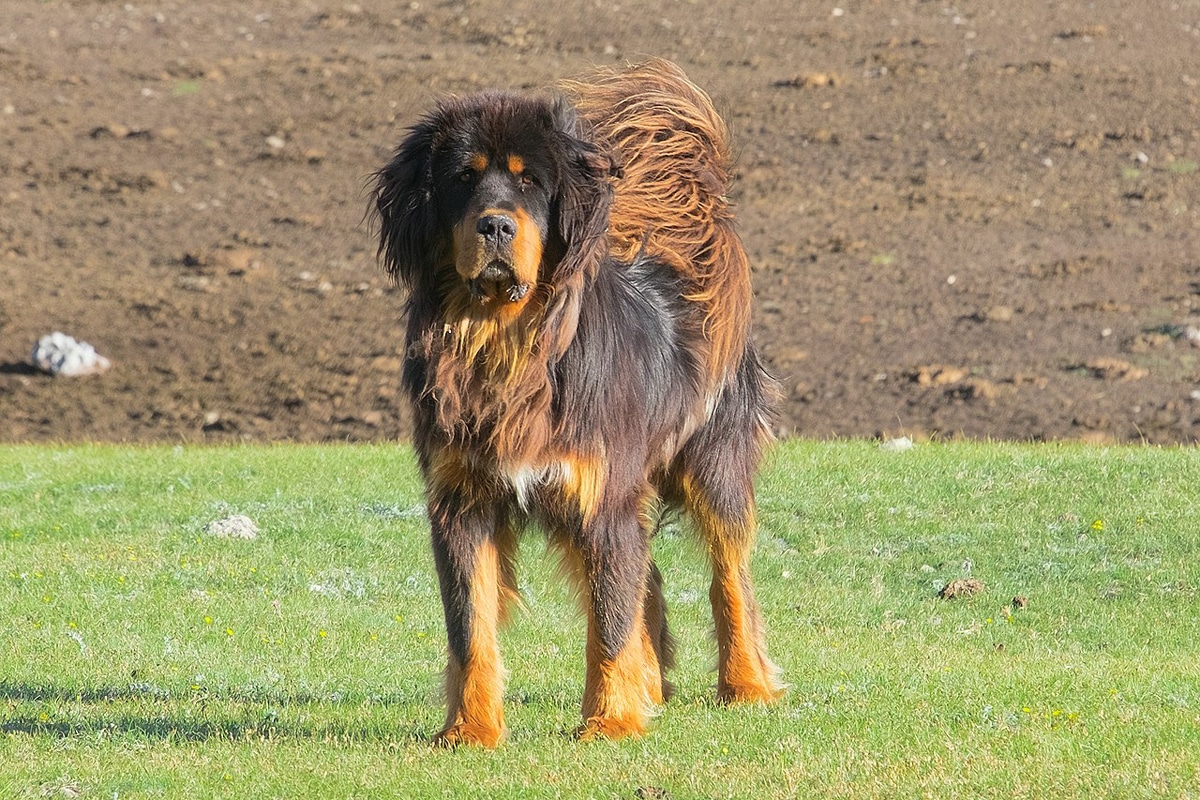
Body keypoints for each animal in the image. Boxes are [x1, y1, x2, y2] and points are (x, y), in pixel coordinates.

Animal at [374, 59, 787, 748]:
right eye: (462, 179)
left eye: (530, 182)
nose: (495, 224)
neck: (506, 344)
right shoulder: (463, 501)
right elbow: (471, 627)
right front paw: (470, 730)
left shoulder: (602, 495)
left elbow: (609, 625)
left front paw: (611, 722)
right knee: (646, 579)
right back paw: (653, 685)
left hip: (709, 466)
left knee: (727, 577)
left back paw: (746, 684)